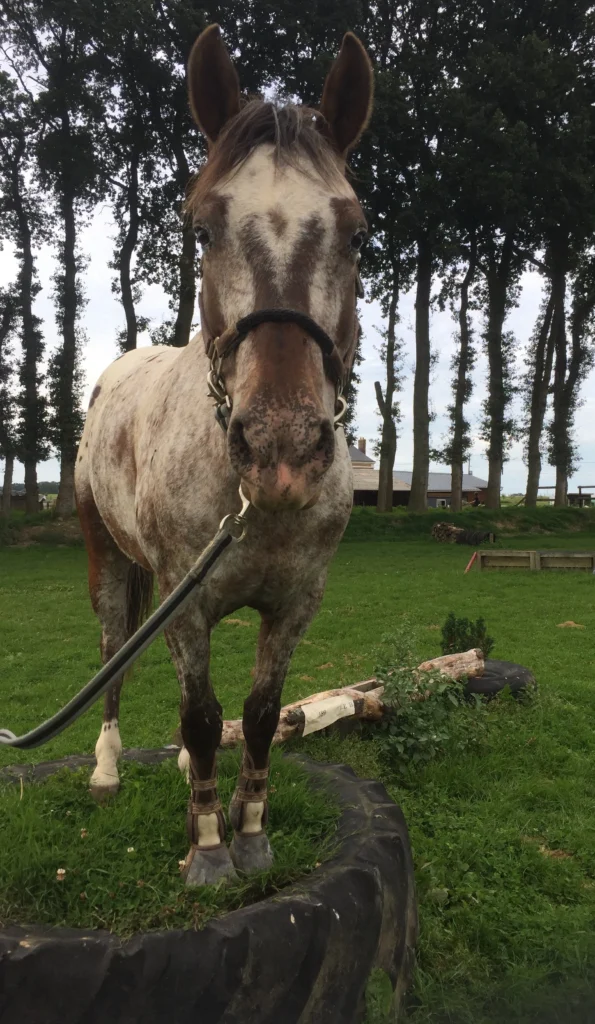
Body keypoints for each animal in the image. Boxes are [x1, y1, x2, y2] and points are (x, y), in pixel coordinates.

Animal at [75, 23, 373, 886]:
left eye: (357, 232)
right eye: (201, 228)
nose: (281, 448)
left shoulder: (297, 601)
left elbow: (260, 715)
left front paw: (249, 831)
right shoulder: (186, 600)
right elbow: (204, 715)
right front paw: (207, 846)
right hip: (109, 559)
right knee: (114, 653)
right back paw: (106, 769)